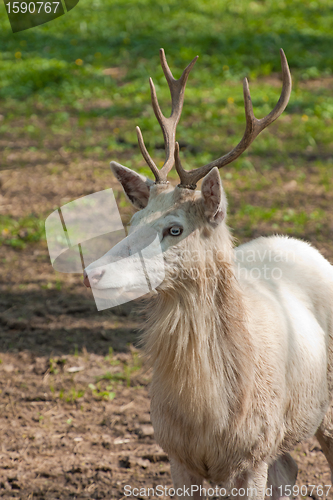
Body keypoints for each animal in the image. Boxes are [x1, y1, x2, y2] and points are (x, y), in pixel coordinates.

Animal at [83, 49, 333, 496]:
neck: (210, 419)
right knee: (289, 469)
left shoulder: (254, 452)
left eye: (175, 229)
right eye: (133, 221)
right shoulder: (175, 454)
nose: (93, 272)